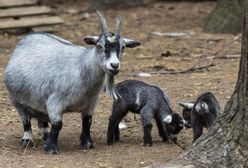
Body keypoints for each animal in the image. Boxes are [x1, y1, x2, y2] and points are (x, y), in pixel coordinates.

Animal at [3, 11, 140, 154]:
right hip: (16, 100)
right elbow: (57, 125)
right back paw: (28, 140)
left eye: (123, 47)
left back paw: (45, 134)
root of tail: (29, 37)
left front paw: (87, 143)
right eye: (99, 46)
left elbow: (87, 121)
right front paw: (51, 148)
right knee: (26, 121)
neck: (81, 68)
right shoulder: (55, 102)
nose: (114, 65)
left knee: (42, 117)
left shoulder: (90, 103)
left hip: (39, 100)